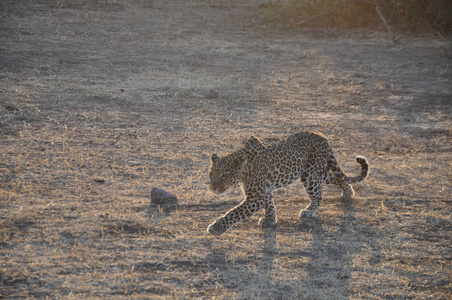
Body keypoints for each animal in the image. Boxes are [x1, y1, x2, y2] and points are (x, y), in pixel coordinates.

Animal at [207, 130, 370, 236]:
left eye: (224, 175)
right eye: (211, 174)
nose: (213, 188)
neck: (244, 169)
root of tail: (322, 135)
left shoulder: (256, 196)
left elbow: (234, 212)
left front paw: (217, 228)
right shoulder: (264, 190)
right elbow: (270, 204)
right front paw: (270, 220)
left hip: (310, 175)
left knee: (318, 196)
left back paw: (309, 210)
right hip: (317, 172)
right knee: (335, 177)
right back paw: (348, 191)